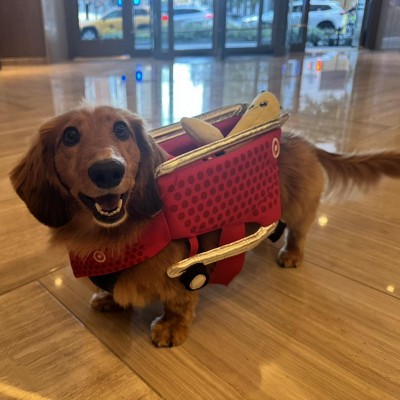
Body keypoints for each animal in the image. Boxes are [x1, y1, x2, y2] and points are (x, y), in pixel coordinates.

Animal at [10, 105, 400, 347]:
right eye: (70, 136)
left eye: (121, 129)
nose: (108, 170)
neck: (112, 239)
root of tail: (300, 139)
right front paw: (109, 299)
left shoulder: (182, 272)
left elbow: (180, 302)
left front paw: (170, 330)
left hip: (301, 208)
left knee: (300, 232)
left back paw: (291, 254)